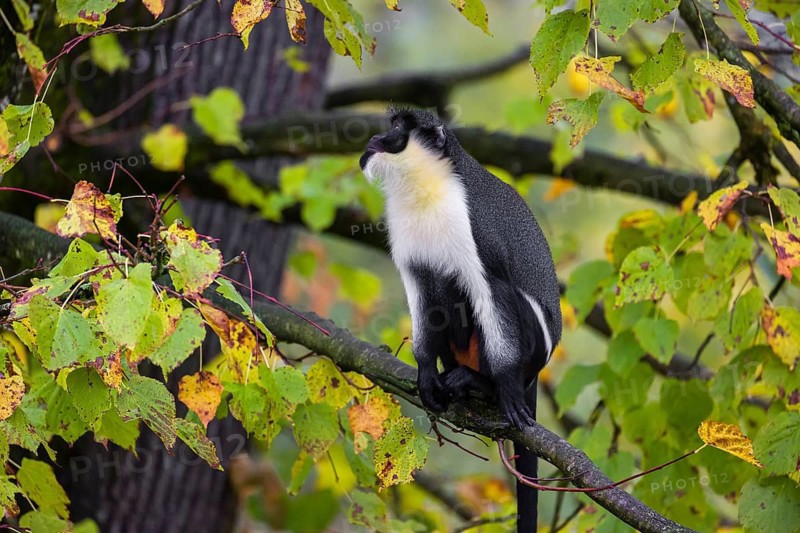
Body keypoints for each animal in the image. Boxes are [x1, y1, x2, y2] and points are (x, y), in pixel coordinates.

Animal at [360, 107, 562, 533]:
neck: (428, 186)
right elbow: (423, 291)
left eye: (399, 129)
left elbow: (491, 288)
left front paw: (501, 384)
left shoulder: (476, 230)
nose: (375, 139)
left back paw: (483, 385)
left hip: (531, 348)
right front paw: (425, 371)